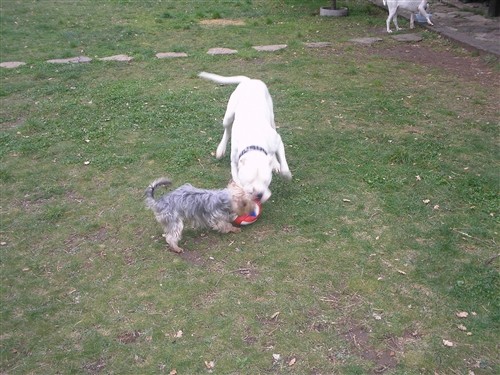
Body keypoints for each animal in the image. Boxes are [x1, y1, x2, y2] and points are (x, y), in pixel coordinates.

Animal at [199, 72, 292, 204]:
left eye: (266, 181)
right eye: (249, 181)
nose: (259, 194)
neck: (254, 142)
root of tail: (249, 81)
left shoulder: (277, 141)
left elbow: (283, 164)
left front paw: (285, 173)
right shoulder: (234, 163)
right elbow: (238, 181)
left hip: (271, 119)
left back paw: (274, 163)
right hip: (228, 116)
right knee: (227, 130)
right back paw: (221, 149)